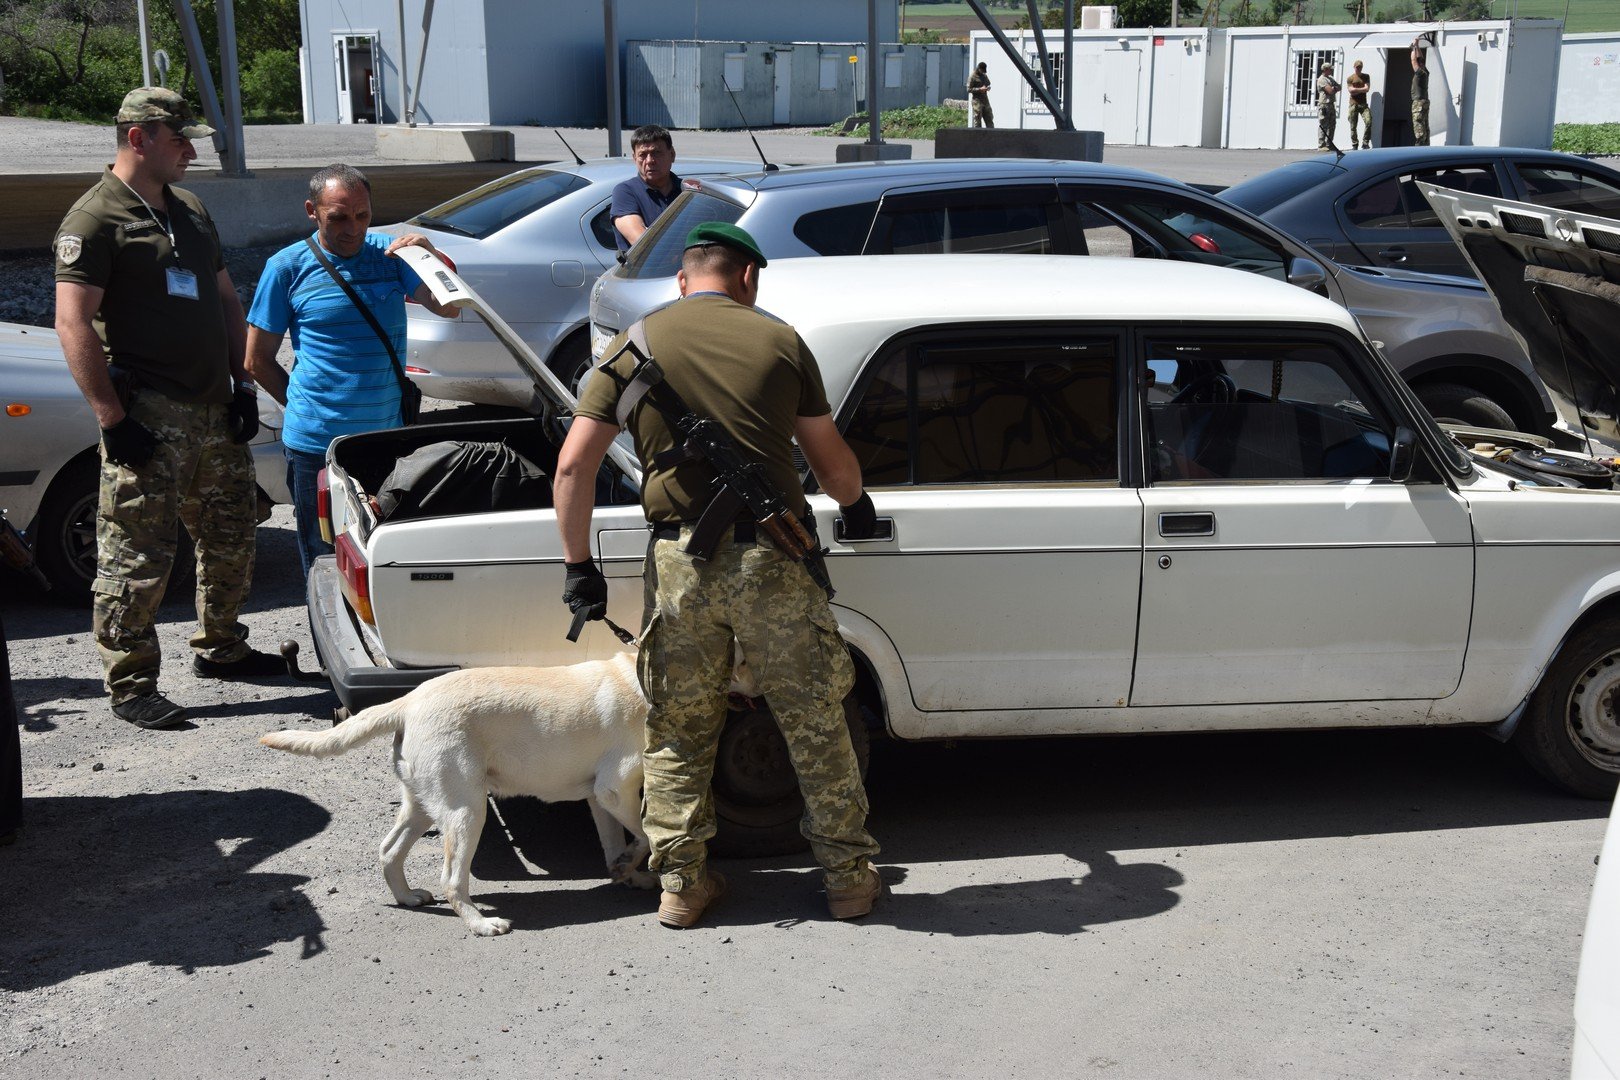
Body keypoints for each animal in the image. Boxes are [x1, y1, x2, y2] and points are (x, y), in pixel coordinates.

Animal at [259, 650, 651, 939]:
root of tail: (409, 701)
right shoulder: (615, 791)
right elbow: (647, 834)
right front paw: (636, 866)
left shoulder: (600, 797)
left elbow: (617, 843)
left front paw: (627, 872)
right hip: (468, 811)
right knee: (451, 879)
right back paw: (480, 923)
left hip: (423, 804)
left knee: (389, 850)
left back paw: (407, 897)